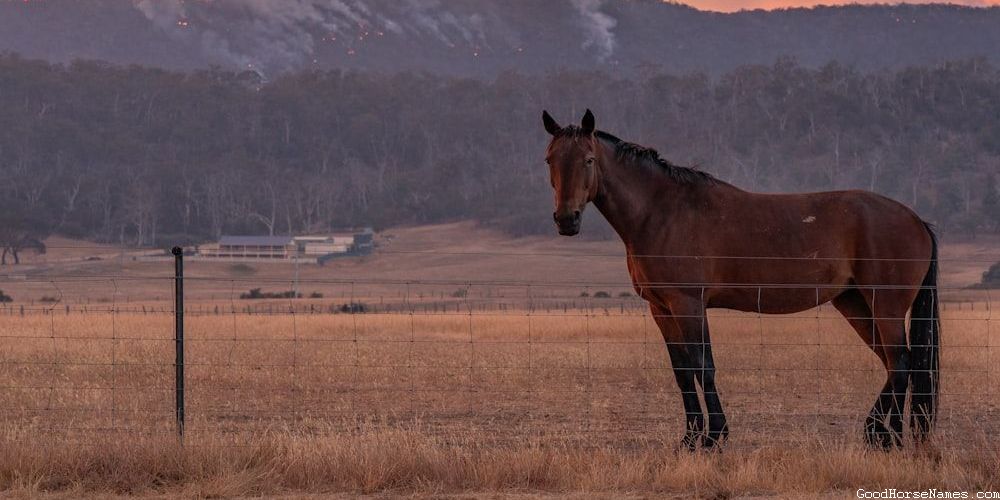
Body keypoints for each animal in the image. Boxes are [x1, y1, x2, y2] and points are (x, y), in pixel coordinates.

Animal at [540, 109, 939, 450]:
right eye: (550, 160)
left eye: (588, 160)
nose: (566, 220)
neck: (661, 211)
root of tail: (917, 220)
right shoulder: (661, 309)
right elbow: (682, 372)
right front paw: (689, 439)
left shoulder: (688, 303)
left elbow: (703, 366)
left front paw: (714, 436)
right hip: (853, 302)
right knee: (892, 362)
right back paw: (883, 434)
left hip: (885, 305)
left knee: (901, 362)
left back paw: (884, 434)